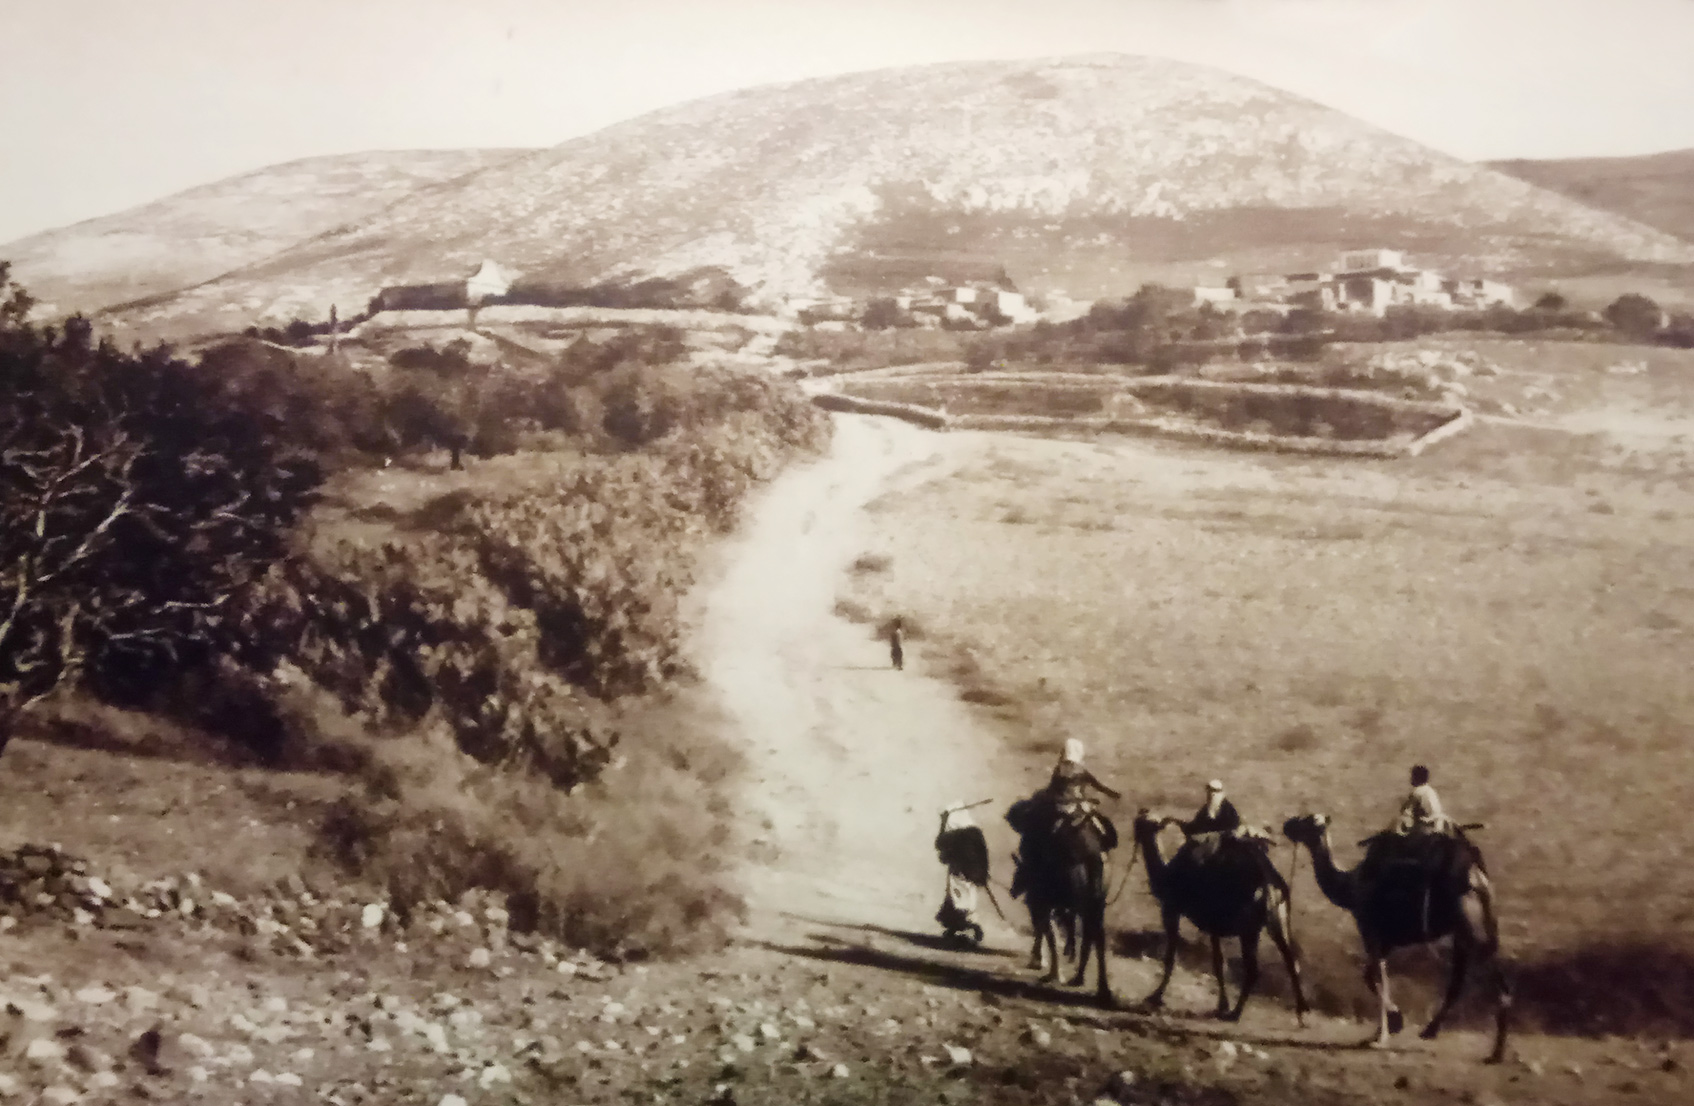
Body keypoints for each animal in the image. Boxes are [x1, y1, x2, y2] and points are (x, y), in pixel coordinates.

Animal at [1138, 806, 1307, 1023]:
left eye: (1145, 823)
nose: (1140, 820)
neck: (1166, 872)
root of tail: (1269, 883)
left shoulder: (1171, 909)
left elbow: (1170, 957)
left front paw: (1155, 997)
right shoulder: (1213, 925)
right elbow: (1218, 963)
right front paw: (1221, 1006)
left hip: (1248, 928)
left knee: (1253, 969)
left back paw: (1236, 1014)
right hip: (1279, 919)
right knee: (1291, 960)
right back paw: (1301, 1012)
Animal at [1280, 809, 1511, 1063]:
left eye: (1308, 820)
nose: (1287, 825)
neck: (1350, 888)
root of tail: (1478, 878)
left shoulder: (1369, 930)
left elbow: (1374, 975)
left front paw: (1383, 1032)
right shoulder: (1386, 942)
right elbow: (1373, 975)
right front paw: (1391, 1025)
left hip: (1469, 925)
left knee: (1496, 983)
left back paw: (1495, 1052)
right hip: (1469, 929)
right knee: (1461, 980)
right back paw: (1432, 1031)